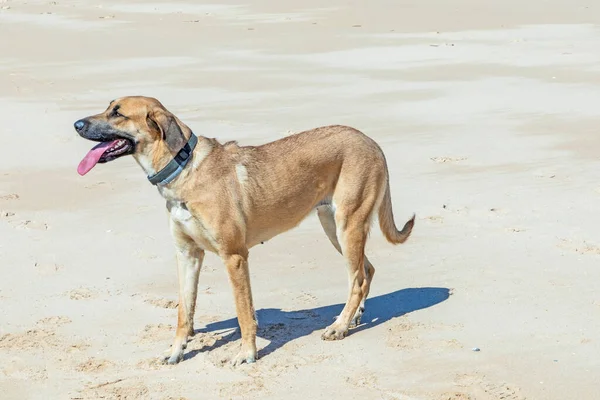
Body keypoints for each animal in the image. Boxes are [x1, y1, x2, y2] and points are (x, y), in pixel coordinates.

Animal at [74, 96, 412, 366]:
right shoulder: (187, 255)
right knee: (365, 270)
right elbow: (184, 312)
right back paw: (353, 316)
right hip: (334, 227)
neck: (183, 168)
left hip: (347, 225)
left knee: (357, 278)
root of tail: (371, 141)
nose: (76, 124)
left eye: (117, 113)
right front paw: (177, 351)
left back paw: (340, 326)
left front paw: (247, 353)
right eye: (109, 107)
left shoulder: (234, 257)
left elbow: (244, 312)